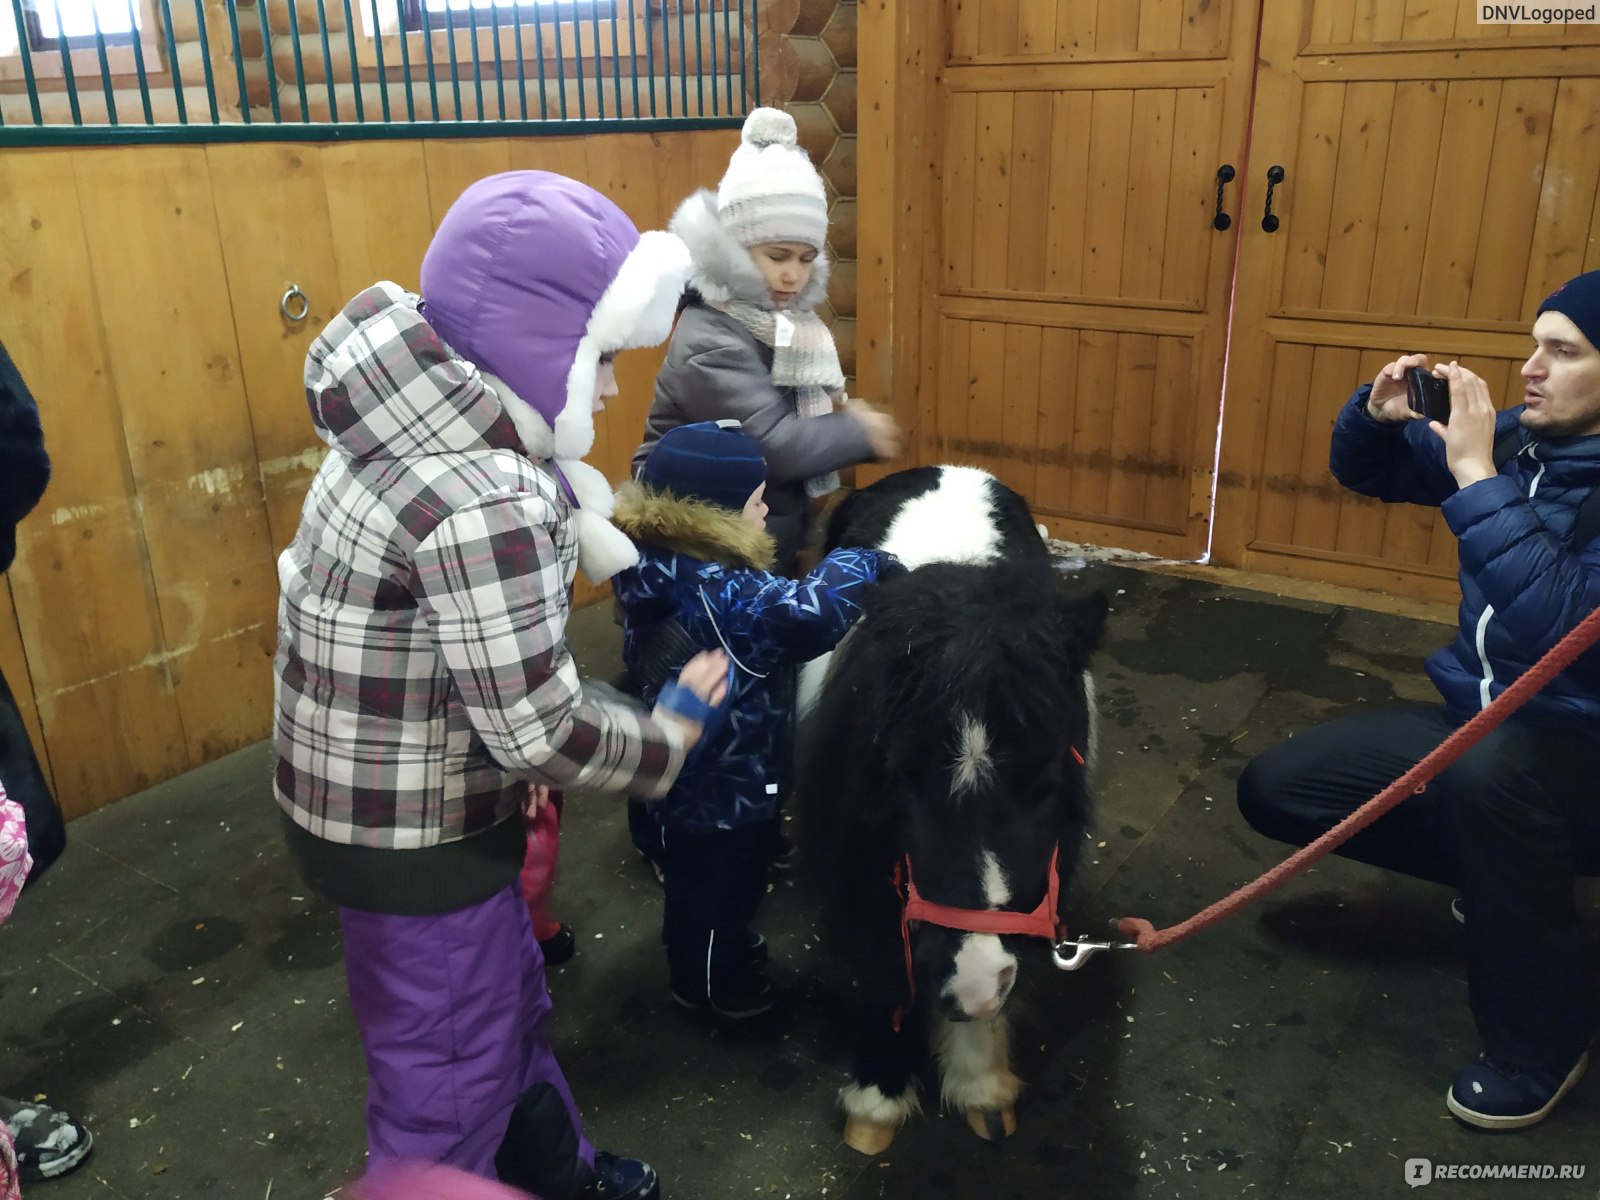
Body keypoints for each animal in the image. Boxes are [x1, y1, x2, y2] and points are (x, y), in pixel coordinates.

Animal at [796, 467, 1107, 1158]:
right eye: (902, 775)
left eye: (1046, 782)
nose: (973, 983)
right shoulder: (865, 862)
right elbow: (884, 965)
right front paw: (878, 1098)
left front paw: (981, 1084)